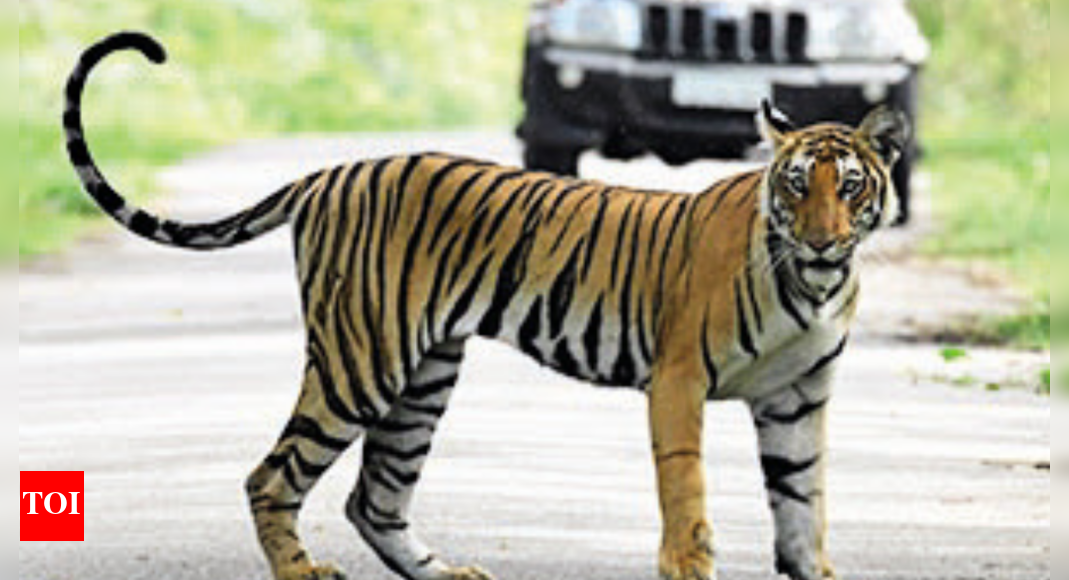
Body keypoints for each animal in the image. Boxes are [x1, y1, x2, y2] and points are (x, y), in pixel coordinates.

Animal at [64, 32, 909, 580]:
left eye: (849, 187)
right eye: (796, 186)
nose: (824, 240)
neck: (813, 285)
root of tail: (328, 171)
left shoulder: (797, 396)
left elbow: (802, 502)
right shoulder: (678, 381)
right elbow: (686, 493)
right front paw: (687, 564)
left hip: (425, 373)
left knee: (374, 497)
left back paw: (444, 573)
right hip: (361, 360)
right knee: (271, 477)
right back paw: (303, 572)